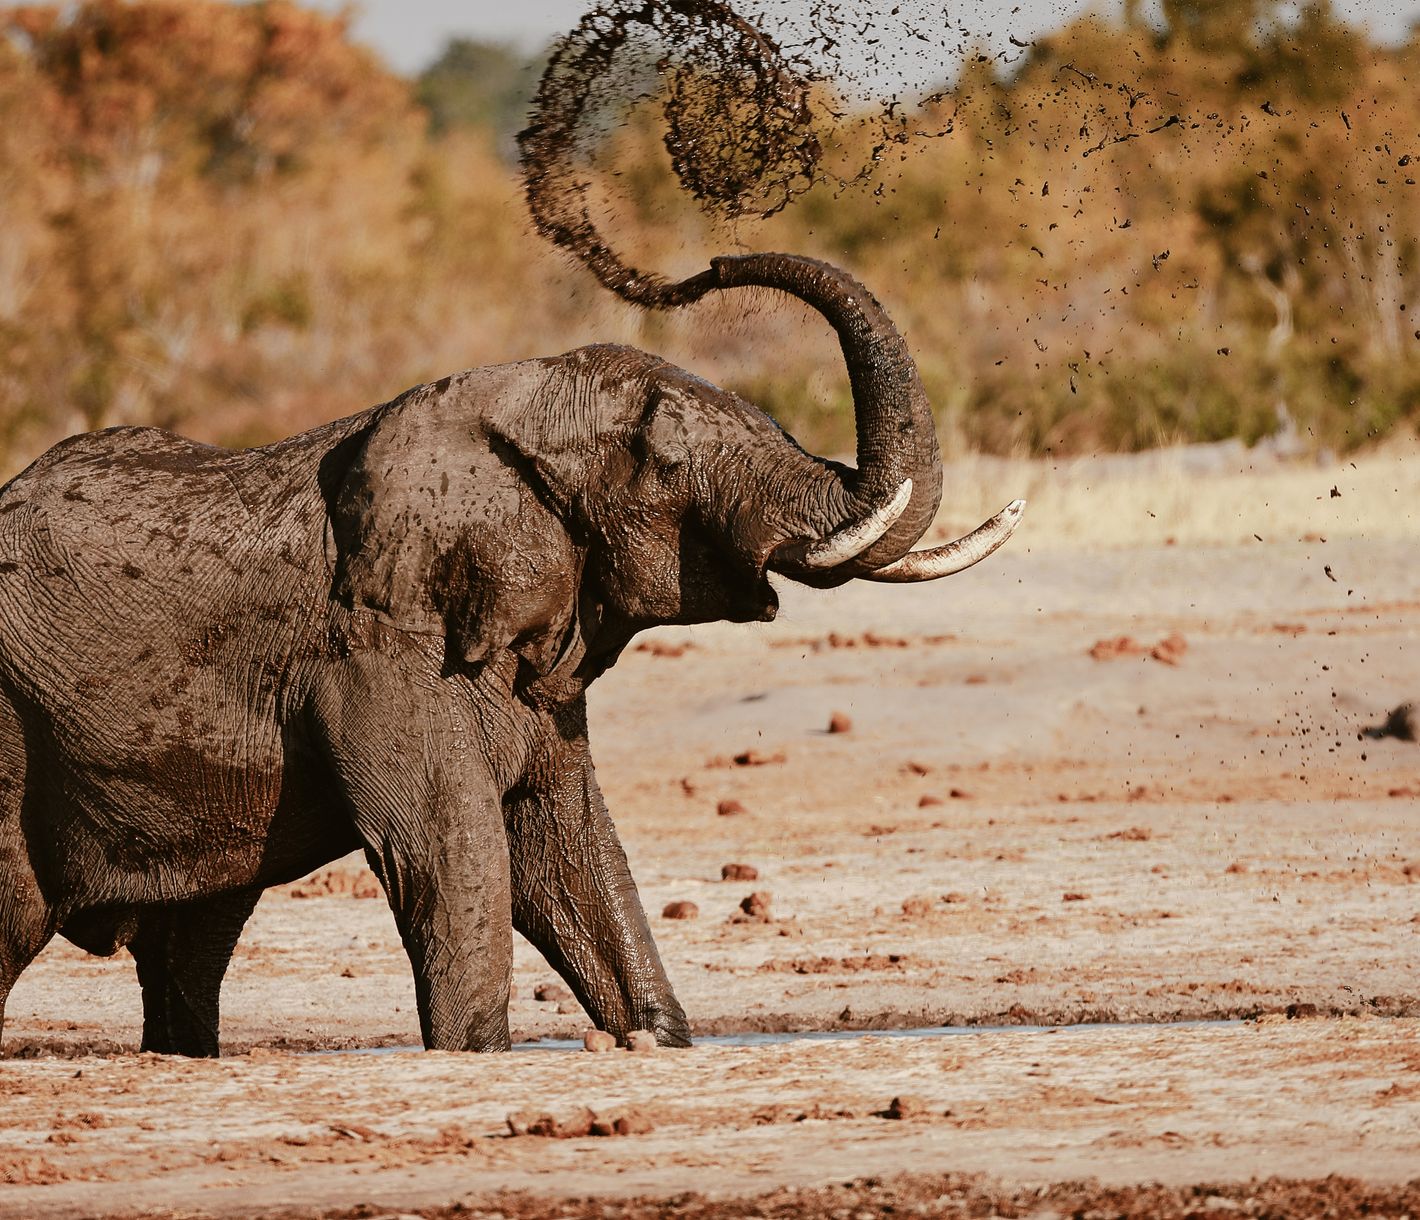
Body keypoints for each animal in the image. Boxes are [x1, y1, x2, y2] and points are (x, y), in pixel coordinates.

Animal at [0, 252, 1021, 1057]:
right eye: (663, 461)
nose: (692, 270)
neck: (506, 403)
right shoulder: (378, 648)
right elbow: (448, 854)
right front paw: (477, 1054)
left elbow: (565, 849)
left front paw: (654, 1039)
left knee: (192, 946)